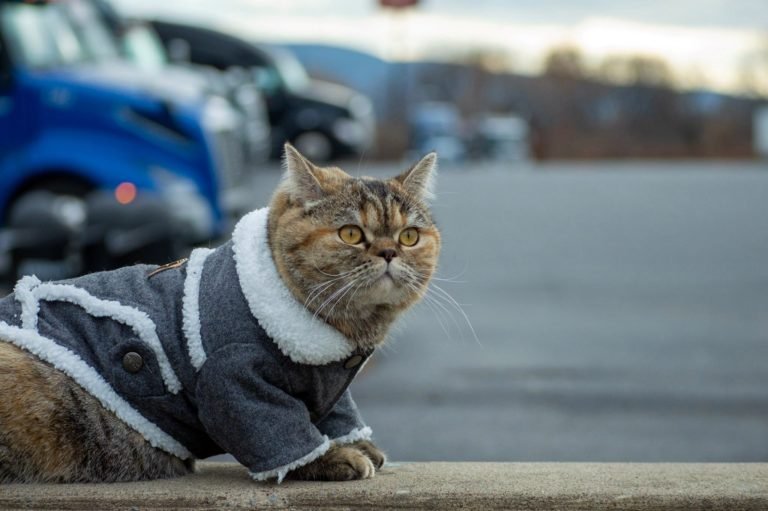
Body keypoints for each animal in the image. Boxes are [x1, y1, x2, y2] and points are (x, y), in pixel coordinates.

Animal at [0, 144, 440, 484]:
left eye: (409, 236)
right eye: (350, 233)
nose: (389, 252)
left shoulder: (330, 387)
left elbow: (338, 415)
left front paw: (355, 442)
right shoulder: (233, 380)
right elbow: (279, 431)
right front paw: (332, 457)